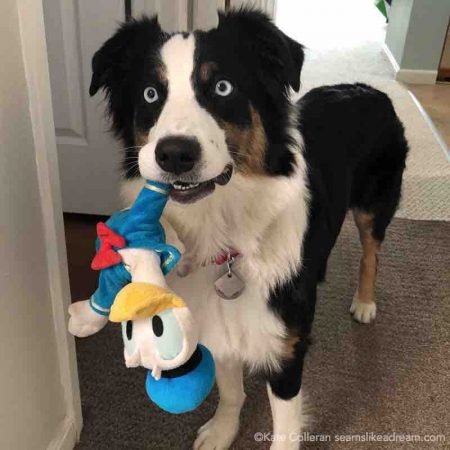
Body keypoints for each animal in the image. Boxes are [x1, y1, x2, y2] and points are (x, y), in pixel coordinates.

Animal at [87, 7, 408, 450]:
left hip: (373, 204)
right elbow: (230, 388)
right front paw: (222, 431)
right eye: (151, 94)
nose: (175, 154)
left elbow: (285, 428)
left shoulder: (286, 348)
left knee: (371, 252)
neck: (222, 229)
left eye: (222, 87)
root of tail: (365, 88)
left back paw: (364, 303)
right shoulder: (219, 324)